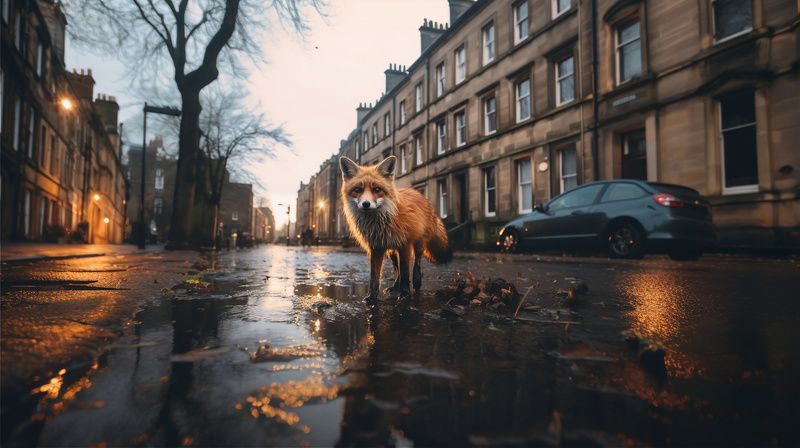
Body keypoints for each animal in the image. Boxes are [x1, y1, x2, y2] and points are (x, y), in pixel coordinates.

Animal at [339, 155, 452, 300]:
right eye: (357, 190)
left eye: (377, 189)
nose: (366, 204)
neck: (381, 222)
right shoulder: (376, 248)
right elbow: (374, 277)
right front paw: (372, 297)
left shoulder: (405, 244)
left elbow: (405, 271)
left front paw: (405, 294)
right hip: (391, 252)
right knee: (397, 269)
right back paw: (395, 286)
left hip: (418, 244)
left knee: (416, 263)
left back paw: (416, 282)